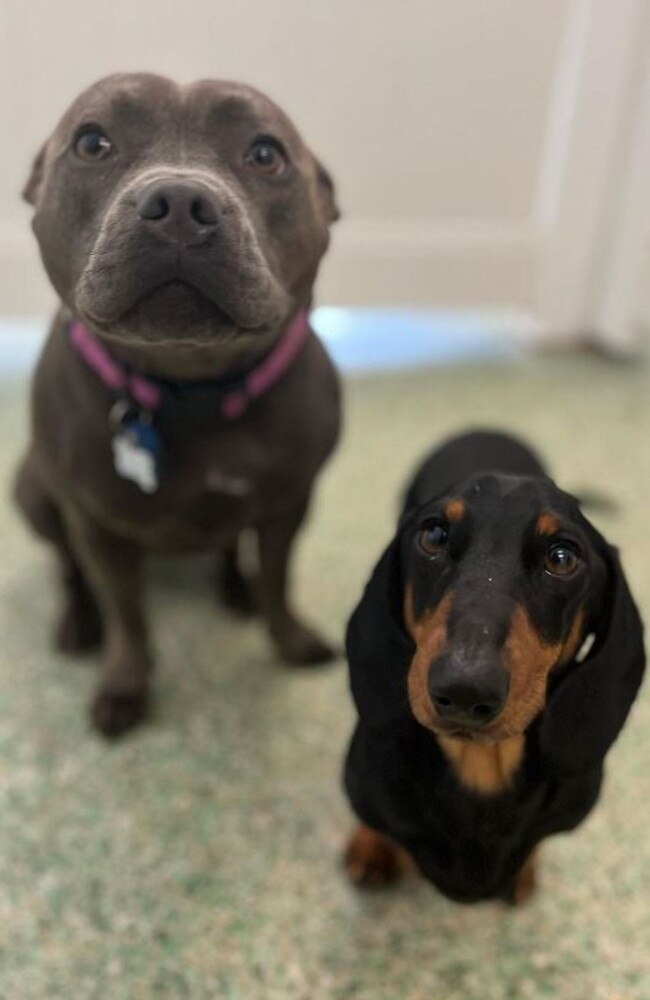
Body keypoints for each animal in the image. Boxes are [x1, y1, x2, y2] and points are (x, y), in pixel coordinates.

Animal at [13, 72, 340, 736]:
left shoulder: (289, 504)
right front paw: (124, 684)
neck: (194, 388)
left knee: (232, 549)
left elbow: (280, 580)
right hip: (33, 491)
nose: (182, 203)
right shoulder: (96, 524)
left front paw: (291, 642)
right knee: (68, 567)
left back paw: (236, 591)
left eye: (265, 154)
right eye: (91, 143)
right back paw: (77, 622)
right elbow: (127, 615)